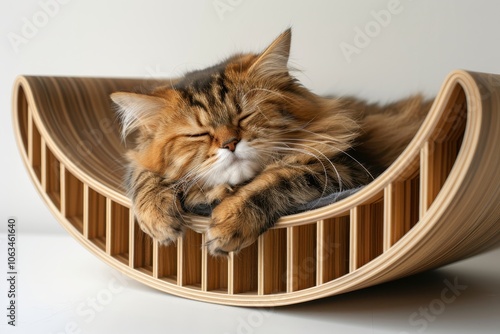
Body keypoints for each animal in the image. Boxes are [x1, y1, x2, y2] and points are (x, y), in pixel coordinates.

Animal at [111, 28, 432, 256]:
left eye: (245, 116)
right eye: (198, 134)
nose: (230, 143)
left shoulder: (351, 168)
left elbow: (275, 179)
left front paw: (229, 222)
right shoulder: (140, 160)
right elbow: (145, 175)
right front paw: (158, 219)